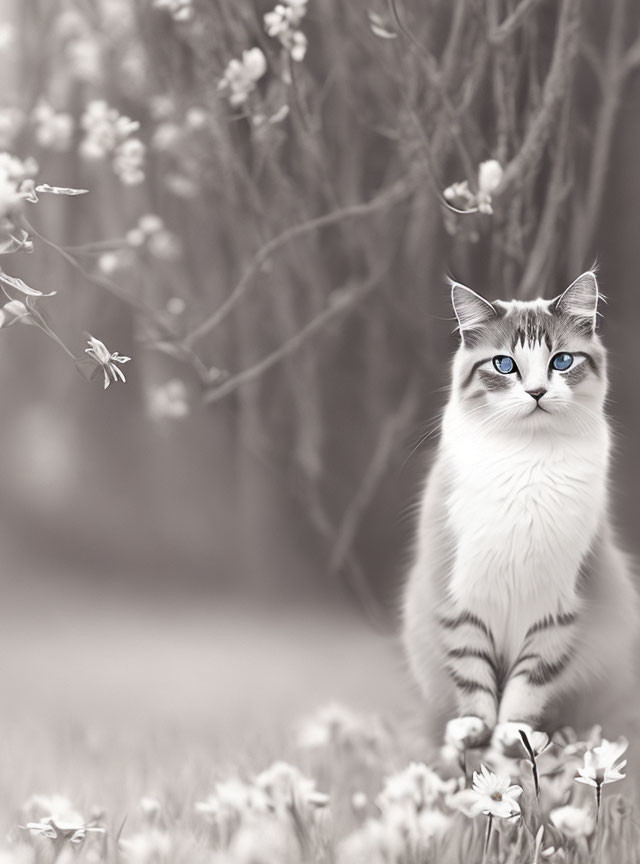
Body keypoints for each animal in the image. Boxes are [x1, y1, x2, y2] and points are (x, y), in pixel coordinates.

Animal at [402, 270, 636, 748]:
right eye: (504, 365)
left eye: (561, 362)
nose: (537, 392)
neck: (528, 462)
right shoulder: (462, 594)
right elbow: (472, 673)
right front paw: (477, 727)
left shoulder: (555, 605)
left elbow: (530, 680)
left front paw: (514, 734)